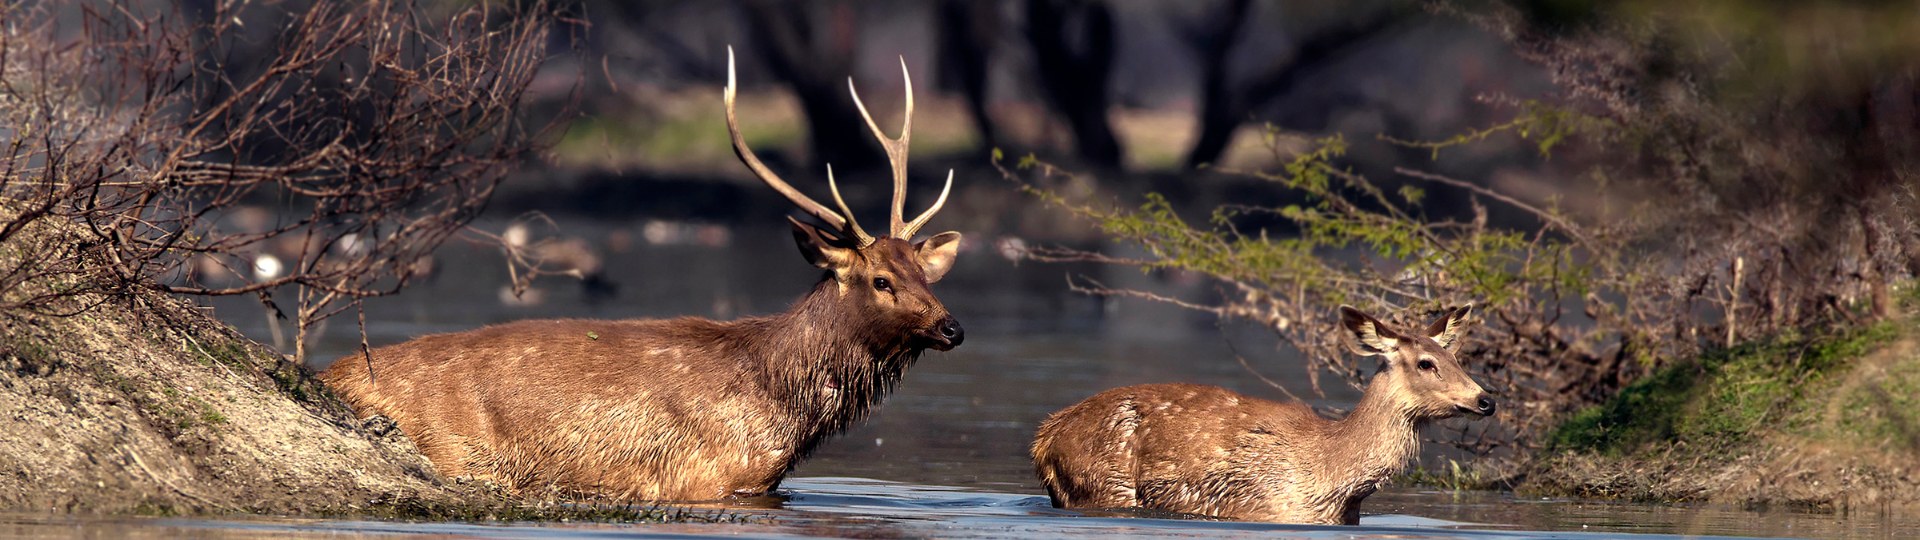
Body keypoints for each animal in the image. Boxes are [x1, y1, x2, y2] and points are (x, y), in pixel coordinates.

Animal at [318, 48, 965, 502]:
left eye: (925, 276)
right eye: (881, 280)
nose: (952, 328)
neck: (781, 415)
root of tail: (331, 376)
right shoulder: (708, 478)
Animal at [1029, 304, 1494, 525]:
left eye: (1454, 356)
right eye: (1426, 363)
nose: (1485, 399)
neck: (1335, 482)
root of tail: (1044, 439)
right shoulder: (1266, 505)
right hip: (1104, 482)